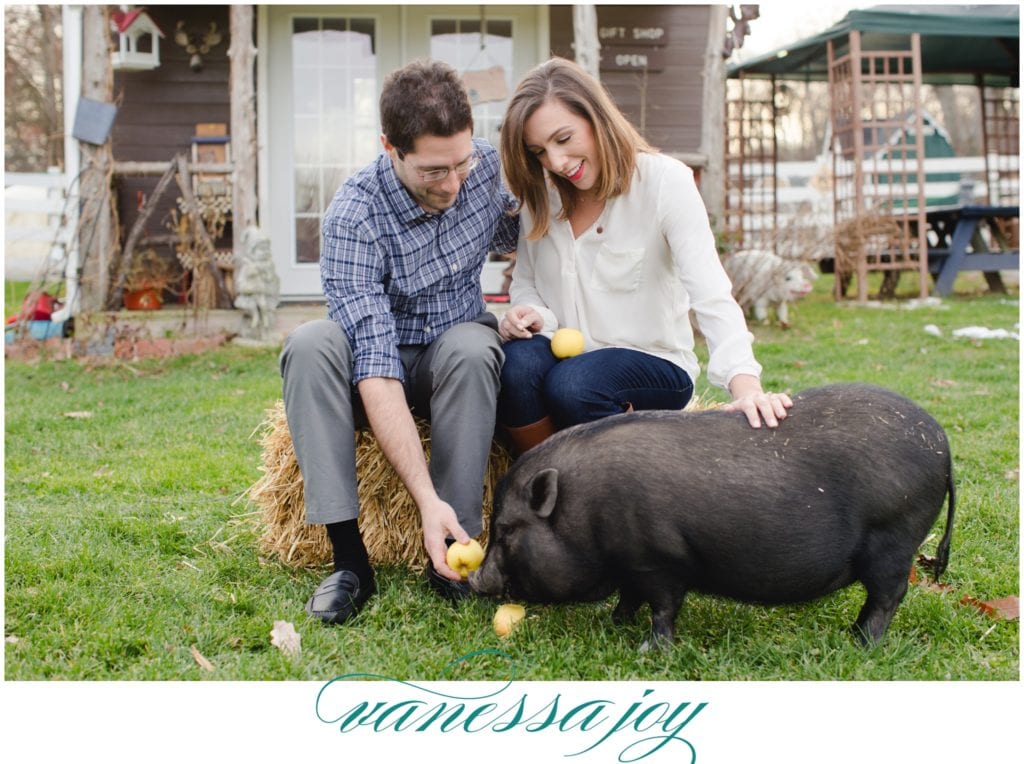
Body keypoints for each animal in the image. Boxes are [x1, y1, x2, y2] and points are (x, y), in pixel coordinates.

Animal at [468, 383, 950, 647]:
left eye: (506, 529)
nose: (474, 579)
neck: (584, 512)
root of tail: (942, 442)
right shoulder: (632, 566)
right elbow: (629, 597)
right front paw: (613, 623)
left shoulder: (658, 560)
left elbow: (663, 607)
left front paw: (650, 650)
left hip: (896, 536)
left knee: (888, 597)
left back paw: (861, 644)